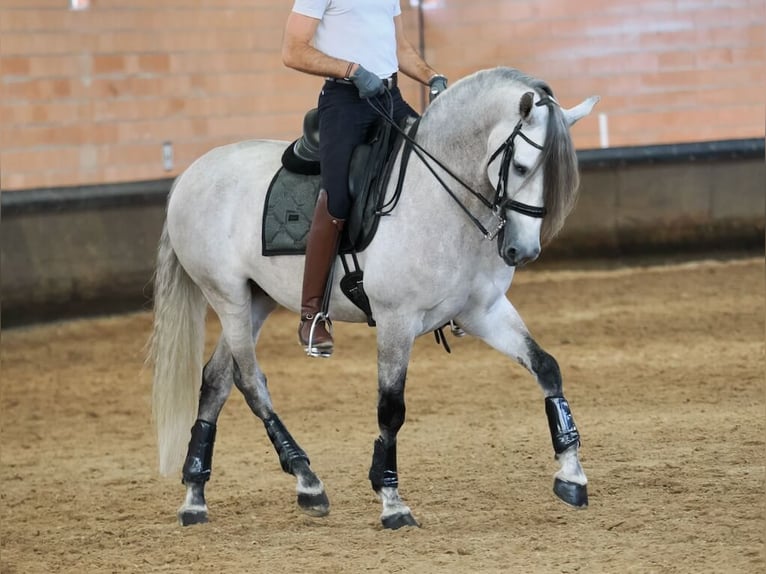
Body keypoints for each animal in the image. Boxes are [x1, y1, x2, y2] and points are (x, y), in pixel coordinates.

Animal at [149, 67, 599, 529]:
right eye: (523, 166)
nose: (522, 251)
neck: (439, 198)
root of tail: (191, 174)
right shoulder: (396, 319)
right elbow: (391, 409)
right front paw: (391, 500)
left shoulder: (482, 311)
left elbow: (546, 367)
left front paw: (571, 475)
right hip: (229, 297)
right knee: (251, 381)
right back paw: (307, 481)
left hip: (257, 299)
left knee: (217, 381)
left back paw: (195, 495)